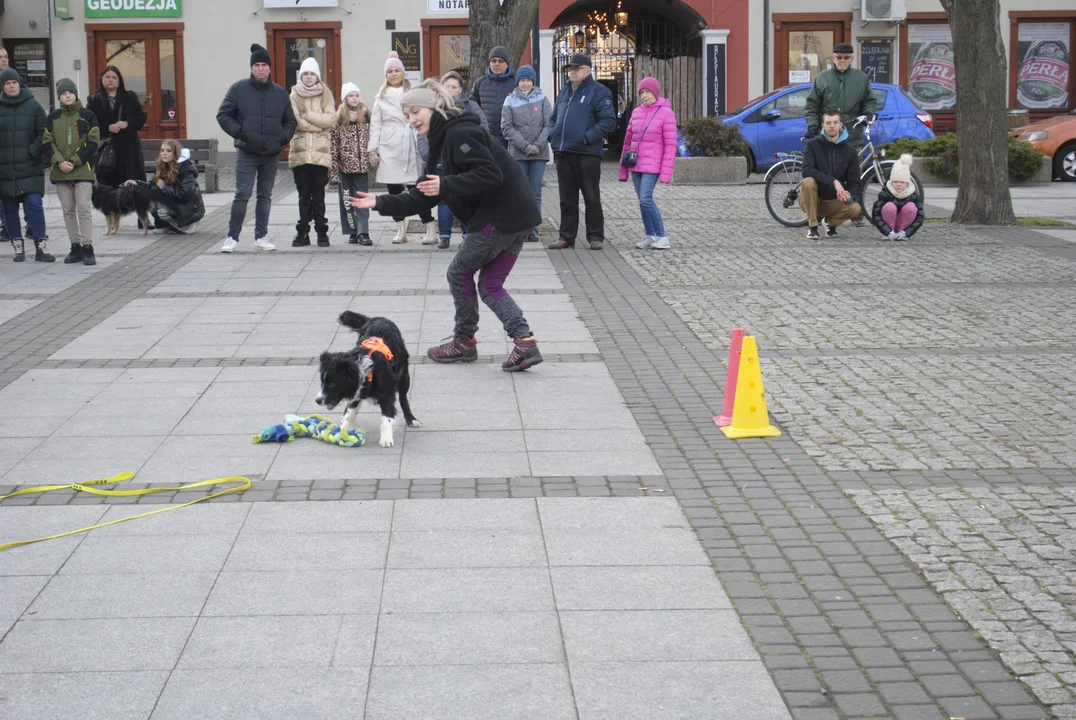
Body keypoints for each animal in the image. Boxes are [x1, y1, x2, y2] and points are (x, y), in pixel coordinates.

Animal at [314, 309, 417, 445]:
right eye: (322, 383)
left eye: (331, 384)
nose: (317, 400)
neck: (367, 371)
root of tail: (377, 318)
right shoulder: (357, 391)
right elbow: (351, 413)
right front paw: (341, 432)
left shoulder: (387, 393)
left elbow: (386, 418)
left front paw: (386, 440)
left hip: (403, 376)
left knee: (403, 398)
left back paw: (411, 419)